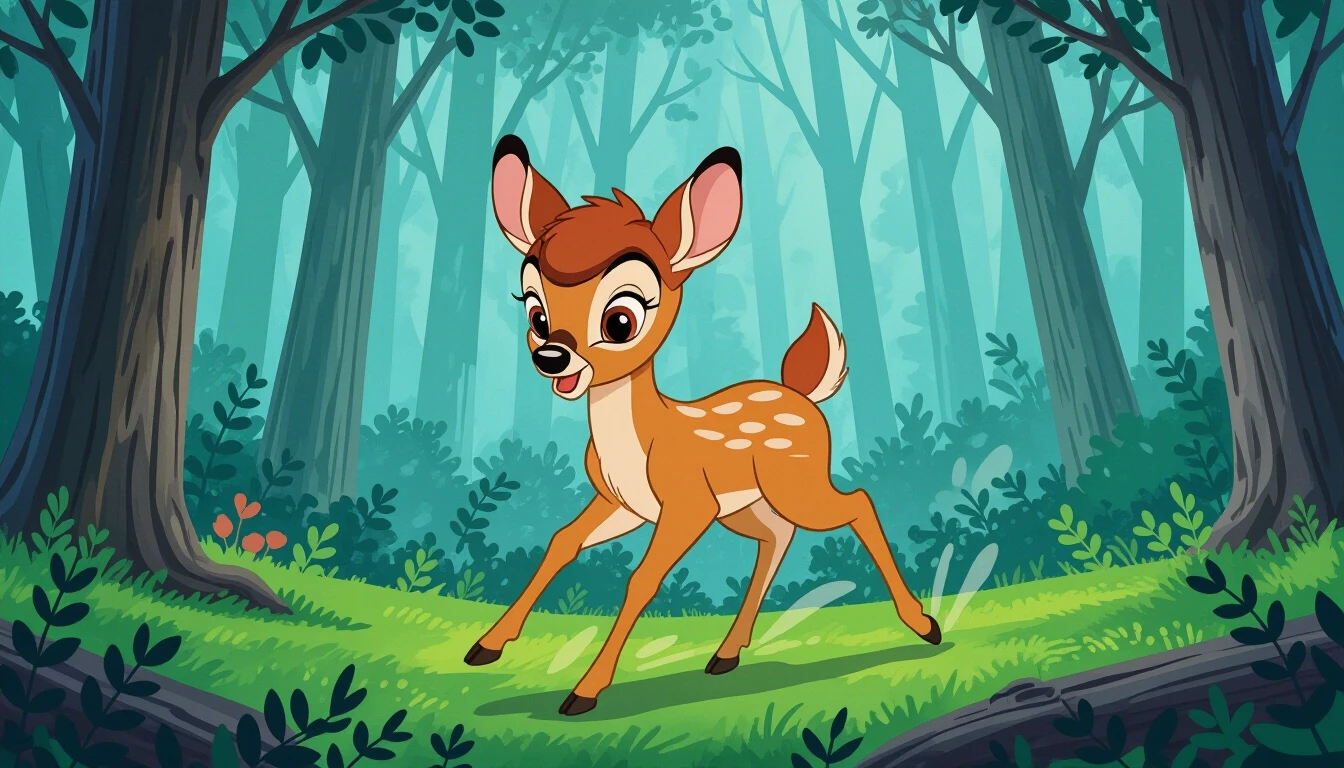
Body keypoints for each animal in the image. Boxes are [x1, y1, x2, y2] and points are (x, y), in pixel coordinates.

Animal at [464, 134, 940, 716]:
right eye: (534, 311)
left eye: (621, 320)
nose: (552, 357)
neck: (642, 440)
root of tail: (802, 395)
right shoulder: (625, 504)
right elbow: (561, 542)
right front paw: (485, 646)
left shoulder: (689, 504)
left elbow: (642, 578)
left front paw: (584, 691)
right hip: (745, 506)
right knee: (778, 537)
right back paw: (726, 654)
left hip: (796, 484)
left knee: (858, 503)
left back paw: (925, 625)